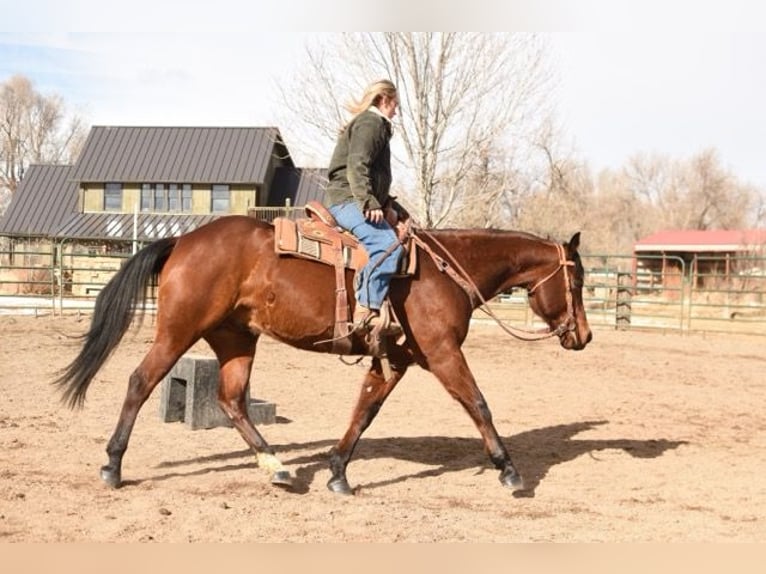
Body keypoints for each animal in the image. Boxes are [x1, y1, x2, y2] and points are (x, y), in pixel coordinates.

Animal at [55, 216, 592, 496]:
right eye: (580, 280)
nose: (584, 336)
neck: (444, 272)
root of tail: (183, 240)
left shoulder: (394, 360)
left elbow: (364, 411)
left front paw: (337, 471)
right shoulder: (442, 354)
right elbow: (478, 404)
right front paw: (510, 471)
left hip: (235, 339)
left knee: (232, 400)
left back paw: (278, 467)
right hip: (180, 330)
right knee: (141, 382)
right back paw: (113, 466)